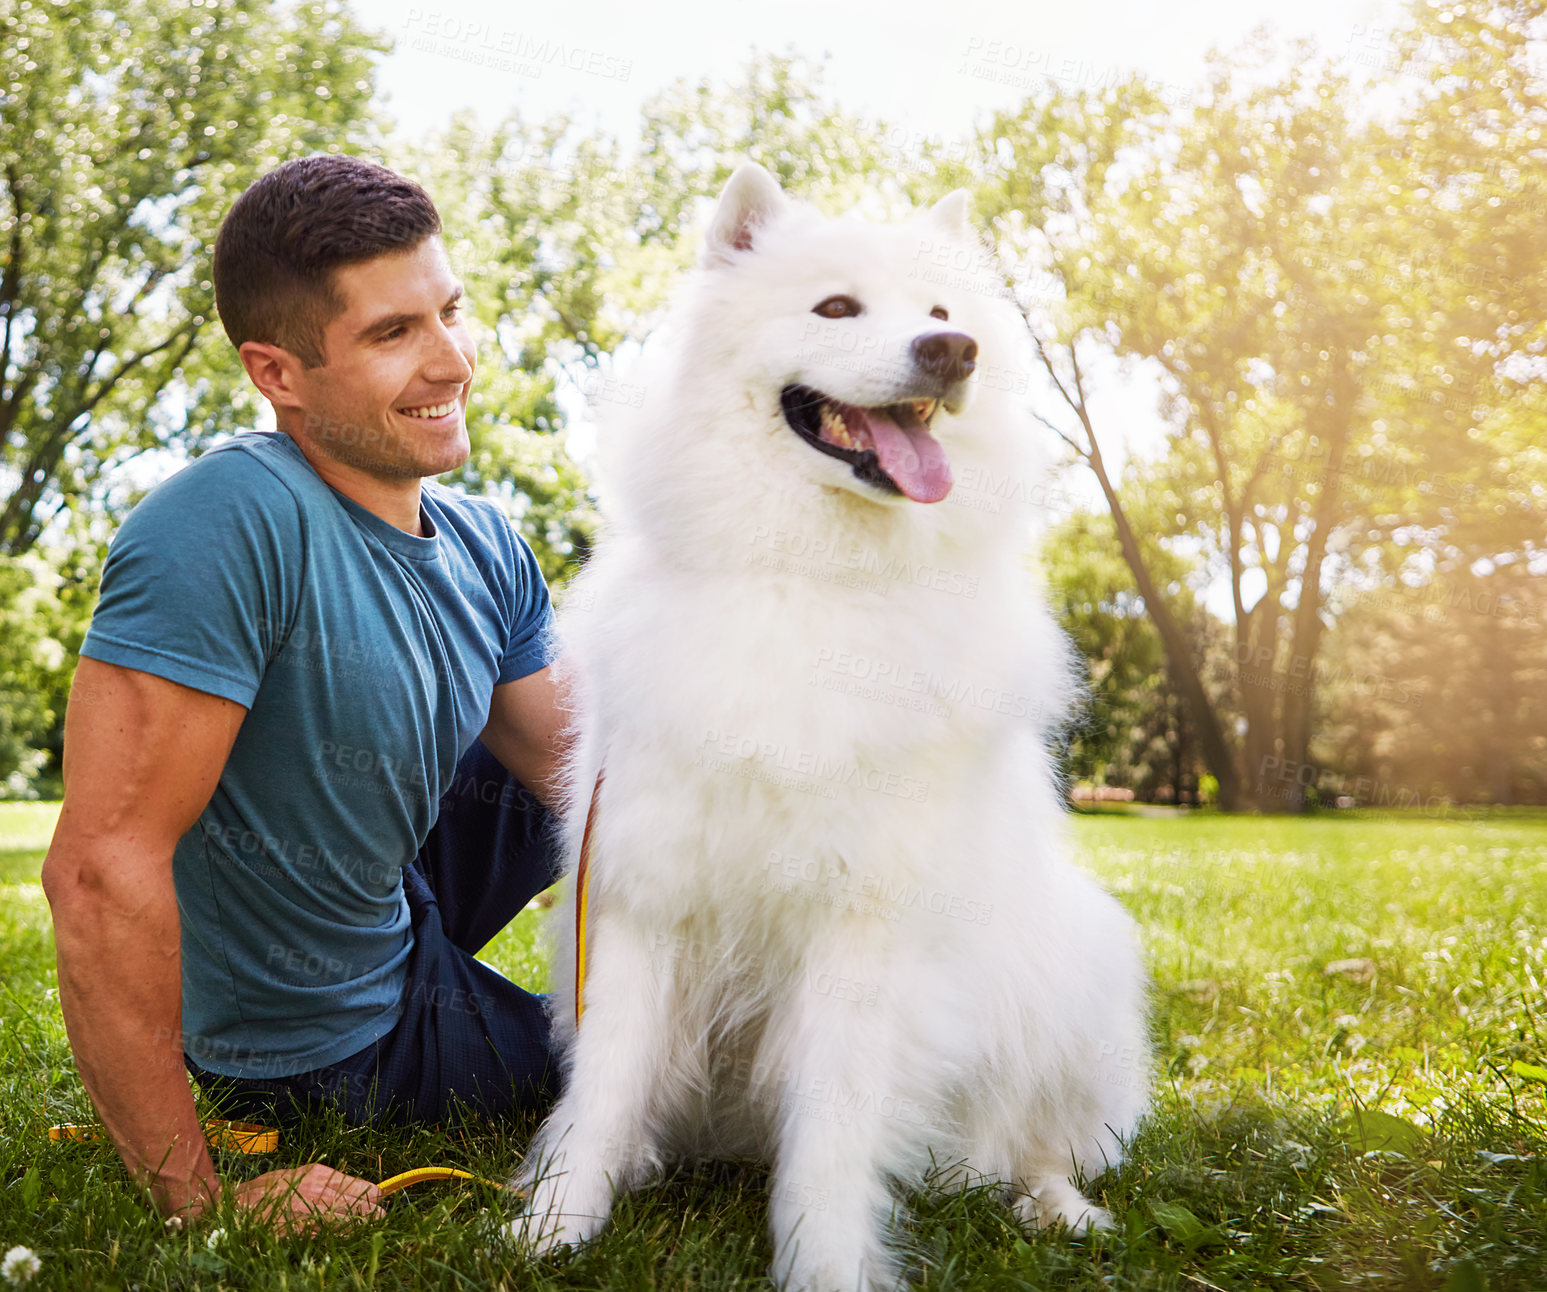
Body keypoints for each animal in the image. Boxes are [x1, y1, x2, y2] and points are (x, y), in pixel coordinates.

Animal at [516, 164, 1150, 1292]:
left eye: (939, 313)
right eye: (836, 307)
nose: (953, 351)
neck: (807, 575)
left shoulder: (860, 924)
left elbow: (831, 1134)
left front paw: (825, 1265)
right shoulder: (639, 895)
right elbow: (603, 1090)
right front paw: (558, 1223)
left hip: (1077, 970)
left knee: (1040, 1141)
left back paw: (1058, 1207)